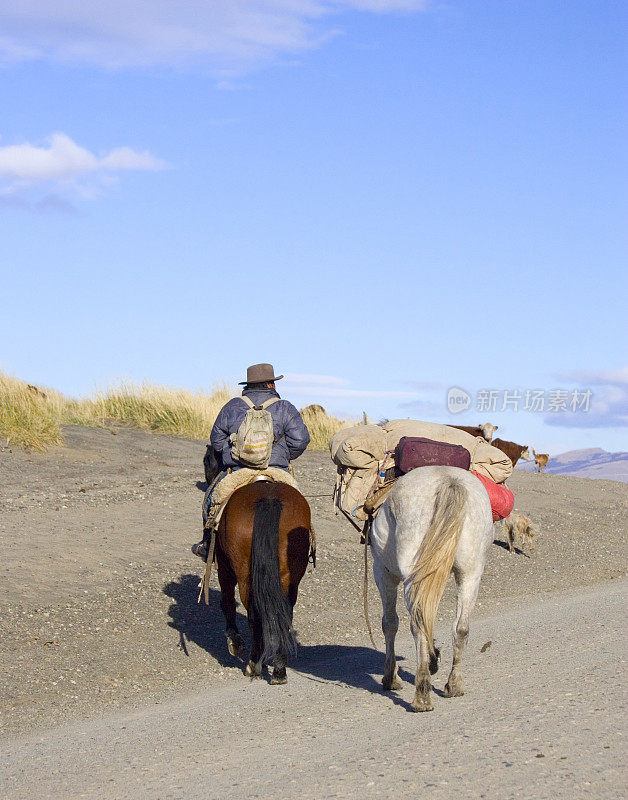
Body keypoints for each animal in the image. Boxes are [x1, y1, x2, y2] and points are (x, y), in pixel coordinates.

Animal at [215, 478, 312, 684]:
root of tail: (269, 500)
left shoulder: (224, 567)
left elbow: (227, 602)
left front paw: (235, 643)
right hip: (290, 578)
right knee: (284, 614)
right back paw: (279, 670)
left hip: (245, 576)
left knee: (254, 616)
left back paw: (254, 665)